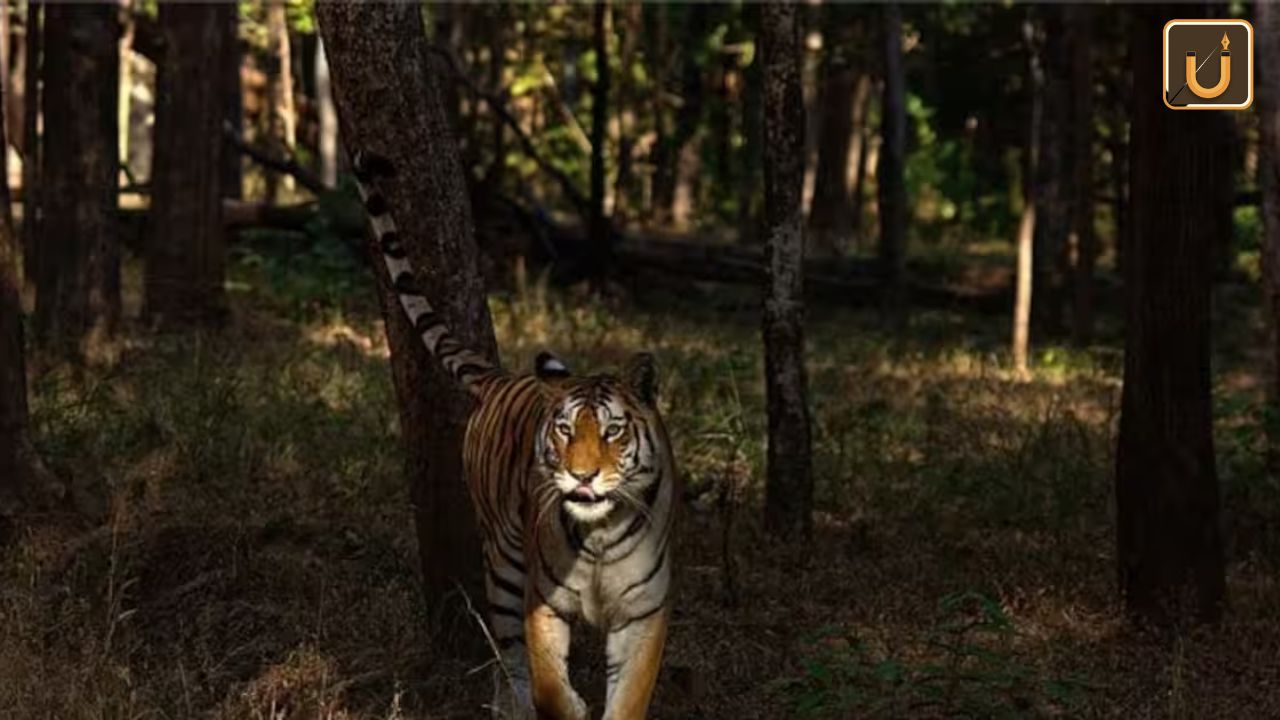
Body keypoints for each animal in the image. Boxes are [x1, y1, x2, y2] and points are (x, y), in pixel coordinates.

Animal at [345, 148, 675, 712]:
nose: (582, 476)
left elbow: (629, 698)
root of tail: (503, 377)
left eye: (612, 431)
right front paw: (563, 704)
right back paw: (510, 704)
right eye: (565, 430)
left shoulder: (643, 614)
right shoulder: (542, 600)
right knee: (508, 649)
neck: (599, 537)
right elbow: (549, 684)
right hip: (502, 560)